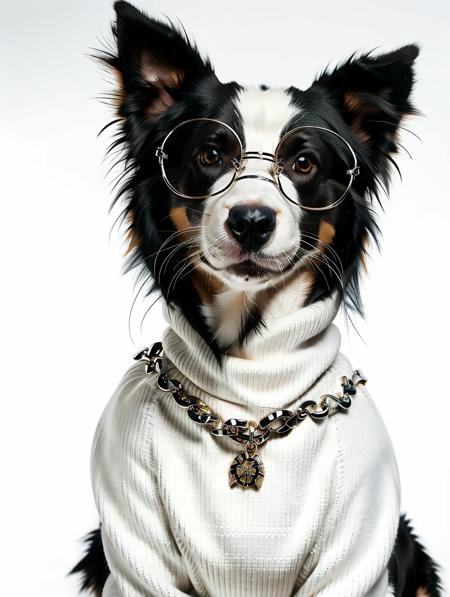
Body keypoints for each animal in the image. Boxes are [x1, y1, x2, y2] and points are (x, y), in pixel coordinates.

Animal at [71, 2, 442, 592]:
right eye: (210, 154)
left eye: (304, 164)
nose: (250, 220)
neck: (252, 380)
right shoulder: (133, 547)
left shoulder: (360, 550)